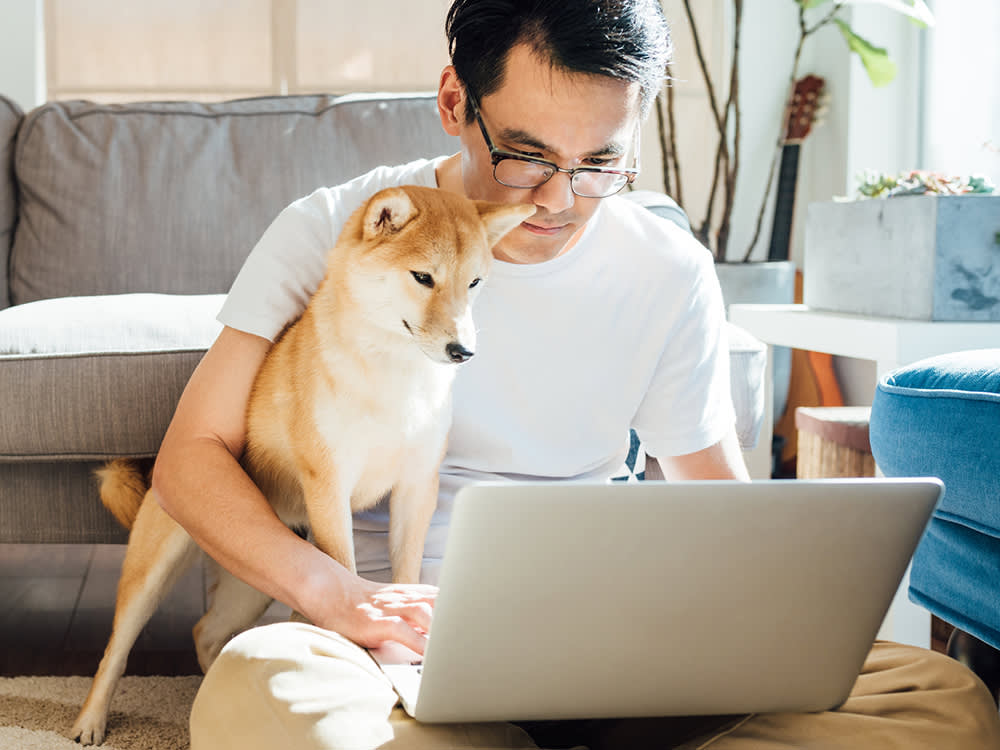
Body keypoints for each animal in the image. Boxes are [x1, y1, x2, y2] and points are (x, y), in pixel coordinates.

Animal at [71, 187, 536, 748]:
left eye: (474, 282)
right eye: (423, 277)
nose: (463, 350)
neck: (393, 376)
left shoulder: (415, 489)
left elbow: (405, 569)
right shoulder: (329, 486)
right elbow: (346, 572)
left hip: (259, 575)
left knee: (206, 631)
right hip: (158, 567)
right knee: (116, 650)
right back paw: (91, 720)